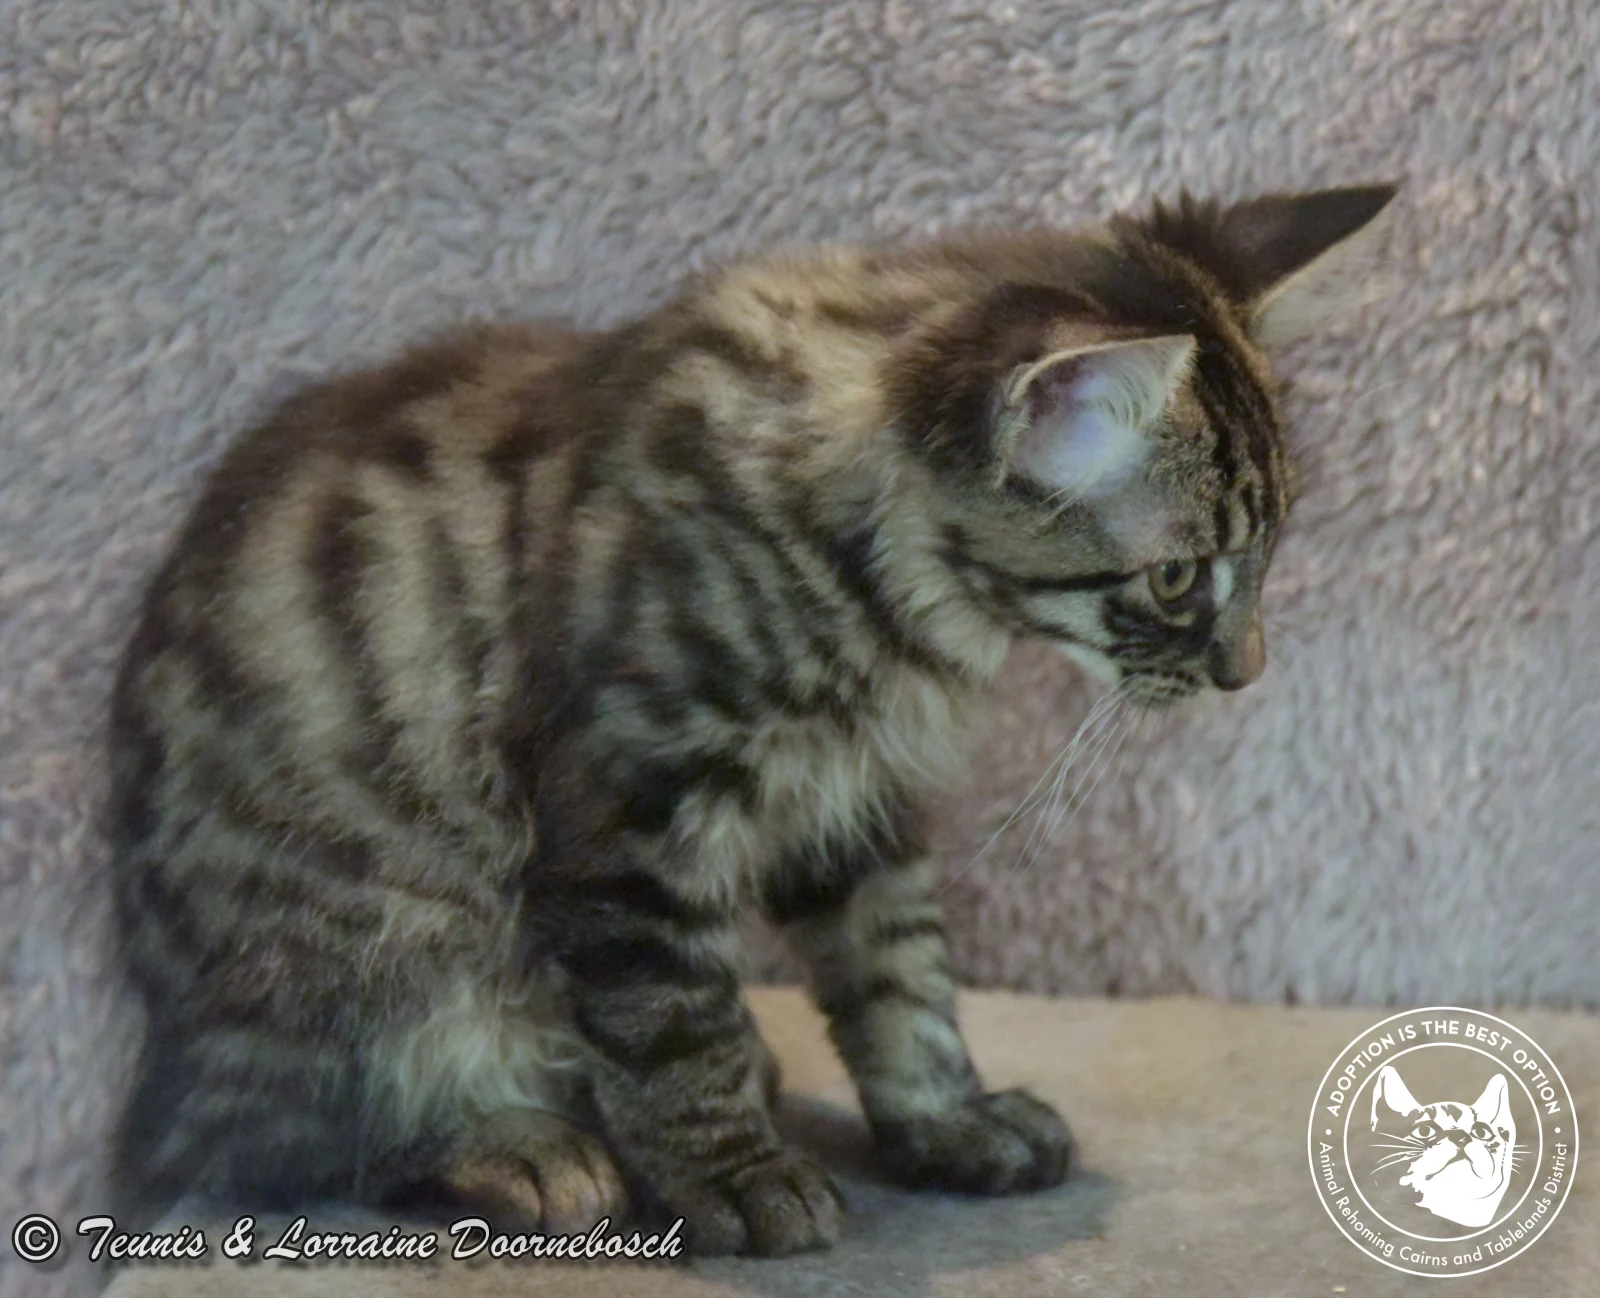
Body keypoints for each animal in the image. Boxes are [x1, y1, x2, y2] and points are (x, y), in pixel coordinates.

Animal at [108, 183, 1396, 1256]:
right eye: (1178, 579)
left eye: (1267, 557)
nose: (1246, 671)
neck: (880, 599)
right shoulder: (624, 803)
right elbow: (676, 1013)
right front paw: (731, 1174)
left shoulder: (855, 801)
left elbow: (901, 971)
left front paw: (949, 1117)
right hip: (373, 928)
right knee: (289, 1131)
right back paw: (519, 1141)